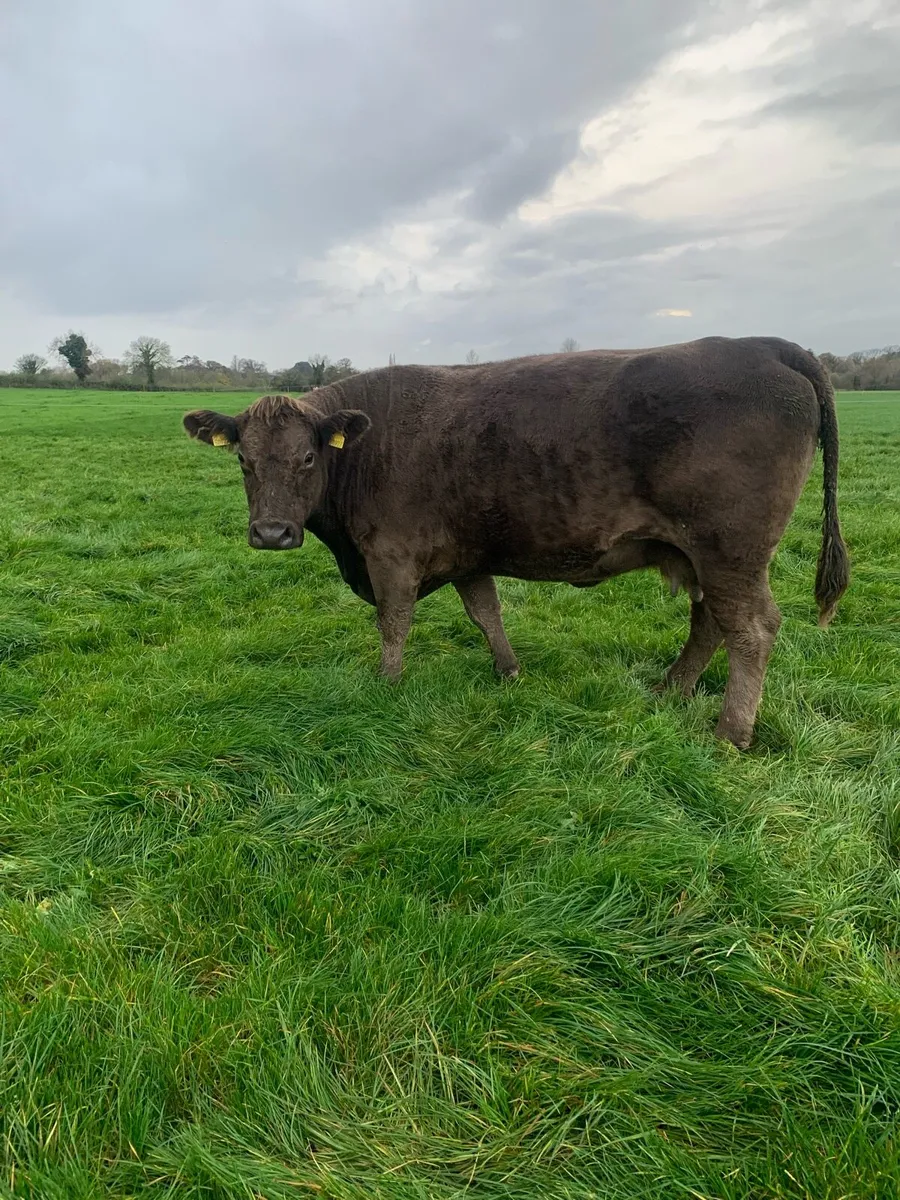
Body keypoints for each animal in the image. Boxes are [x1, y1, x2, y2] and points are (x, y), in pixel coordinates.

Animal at [183, 336, 849, 749]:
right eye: (243, 460)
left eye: (307, 457)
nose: (272, 533)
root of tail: (757, 343)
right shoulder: (467, 551)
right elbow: (487, 613)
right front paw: (509, 673)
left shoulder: (391, 555)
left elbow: (394, 622)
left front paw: (388, 685)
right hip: (702, 556)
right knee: (710, 621)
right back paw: (669, 689)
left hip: (731, 552)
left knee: (751, 628)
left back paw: (730, 733)